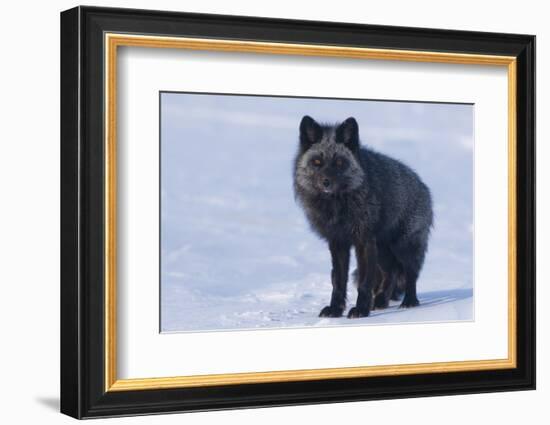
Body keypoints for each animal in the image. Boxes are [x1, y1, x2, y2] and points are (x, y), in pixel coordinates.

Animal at [296, 114, 434, 316]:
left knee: (411, 274)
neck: (338, 207)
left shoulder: (364, 240)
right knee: (391, 273)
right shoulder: (337, 242)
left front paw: (360, 310)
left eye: (339, 163)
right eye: (317, 163)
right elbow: (338, 281)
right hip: (383, 249)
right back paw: (381, 300)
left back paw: (409, 301)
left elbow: (364, 281)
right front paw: (335, 309)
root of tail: (424, 186)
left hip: (403, 246)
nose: (326, 182)